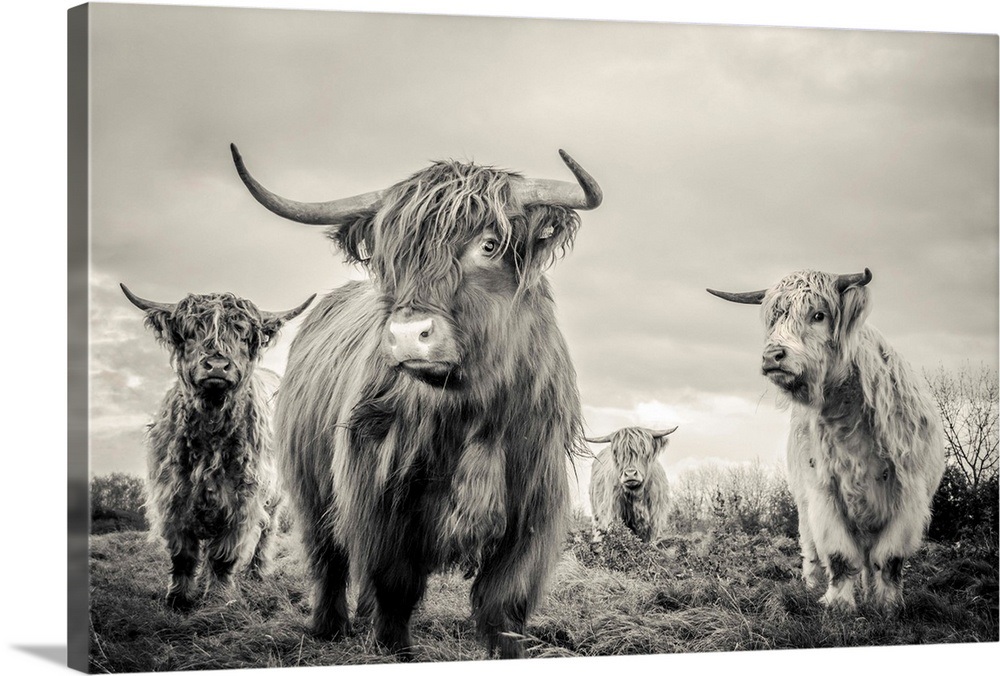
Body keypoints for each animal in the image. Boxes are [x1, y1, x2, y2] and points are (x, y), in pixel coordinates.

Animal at [121, 283, 314, 609]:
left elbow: (224, 554)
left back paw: (256, 573)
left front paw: (218, 598)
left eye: (244, 335)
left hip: (274, 498)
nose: (218, 366)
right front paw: (178, 598)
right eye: (189, 333)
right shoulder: (173, 496)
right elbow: (183, 553)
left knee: (266, 532)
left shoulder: (242, 499)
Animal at [229, 144, 602, 658]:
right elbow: (395, 583)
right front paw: (392, 649)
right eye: (391, 256)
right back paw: (330, 627)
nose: (408, 335)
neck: (472, 414)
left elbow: (504, 599)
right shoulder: (380, 496)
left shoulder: (532, 505)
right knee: (328, 559)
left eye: (489, 245)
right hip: (309, 486)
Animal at [707, 269, 945, 610]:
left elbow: (889, 559)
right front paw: (838, 603)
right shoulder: (823, 491)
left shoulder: (908, 494)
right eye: (775, 317)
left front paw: (888, 604)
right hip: (804, 506)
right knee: (812, 549)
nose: (772, 356)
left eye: (818, 315)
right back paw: (812, 585)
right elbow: (838, 554)